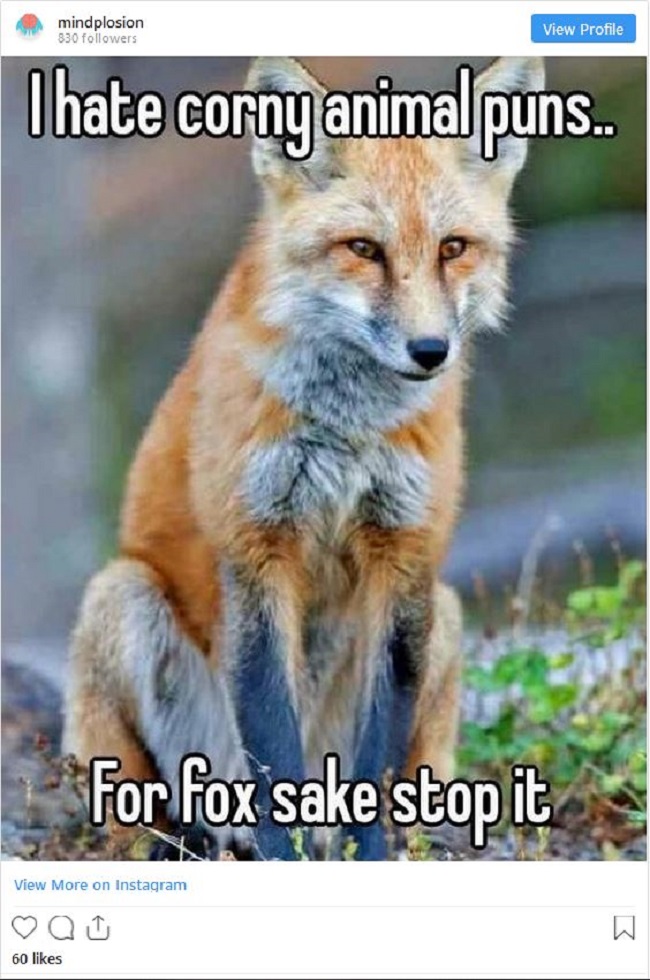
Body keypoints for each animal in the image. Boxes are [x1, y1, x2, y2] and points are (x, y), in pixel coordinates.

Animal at [63, 55, 544, 861]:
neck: (349, 431)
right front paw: (285, 860)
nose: (430, 352)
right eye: (363, 249)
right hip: (121, 597)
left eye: (452, 248)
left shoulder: (403, 554)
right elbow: (271, 741)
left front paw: (369, 857)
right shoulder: (257, 549)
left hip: (441, 611)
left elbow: (375, 755)